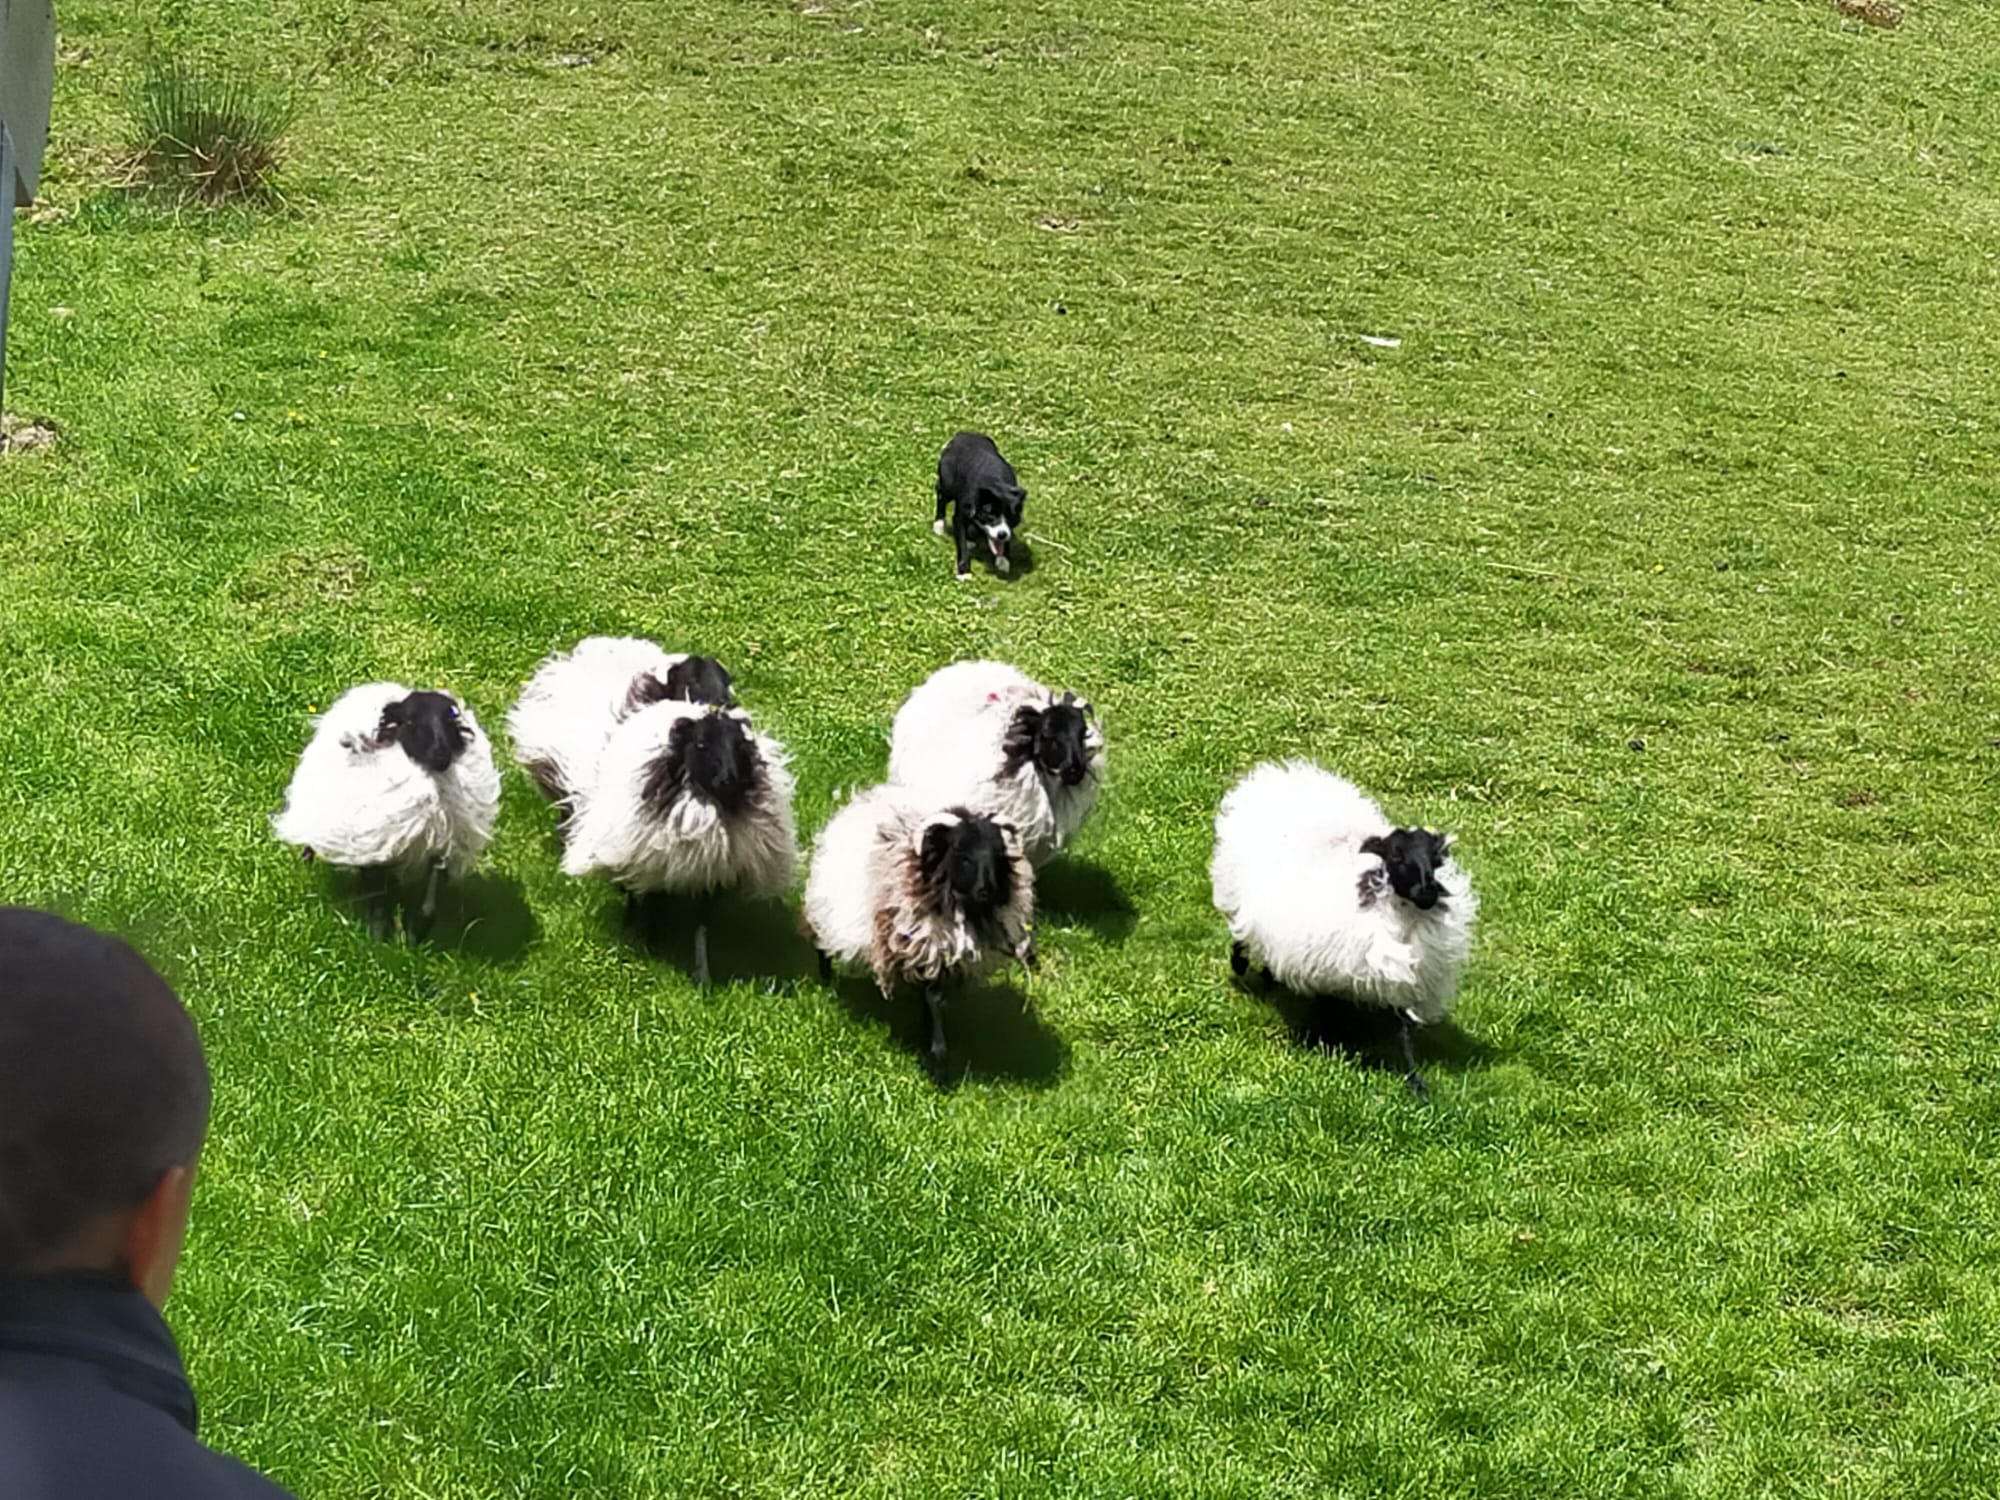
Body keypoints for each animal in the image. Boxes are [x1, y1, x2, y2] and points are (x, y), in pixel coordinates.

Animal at [272, 682, 501, 940]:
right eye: (409, 721)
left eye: (449, 721)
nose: (441, 756)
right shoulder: (373, 846)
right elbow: (379, 902)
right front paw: (378, 940)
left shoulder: (441, 847)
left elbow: (428, 904)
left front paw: (415, 935)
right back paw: (307, 858)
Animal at [559, 699, 796, 984]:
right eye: (701, 744)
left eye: (740, 745)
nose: (729, 780)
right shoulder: (654, 865)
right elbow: (652, 906)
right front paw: (648, 948)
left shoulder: (710, 879)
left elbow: (701, 925)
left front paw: (702, 975)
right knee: (635, 893)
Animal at [803, 786, 1036, 1073]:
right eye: (962, 854)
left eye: (999, 854)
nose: (987, 891)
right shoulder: (920, 950)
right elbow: (932, 999)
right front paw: (937, 1053)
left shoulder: (936, 957)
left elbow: (933, 998)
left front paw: (933, 1039)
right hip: (824, 912)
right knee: (821, 945)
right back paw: (826, 978)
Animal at [934, 431, 1026, 579]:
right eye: (990, 515)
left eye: (1011, 516)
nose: (1001, 534)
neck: (996, 484)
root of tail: (962, 434)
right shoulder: (960, 517)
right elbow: (962, 545)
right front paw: (964, 572)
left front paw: (1003, 560)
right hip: (947, 485)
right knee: (941, 496)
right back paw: (939, 525)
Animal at [1211, 759, 1476, 1098]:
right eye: (1397, 856)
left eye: (1436, 859)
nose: (1427, 894)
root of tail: (1286, 775)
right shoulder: (1330, 968)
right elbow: (1326, 1008)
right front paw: (1323, 1046)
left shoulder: (1400, 983)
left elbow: (1402, 1035)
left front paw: (1416, 1083)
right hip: (1240, 893)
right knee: (1242, 935)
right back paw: (1243, 965)